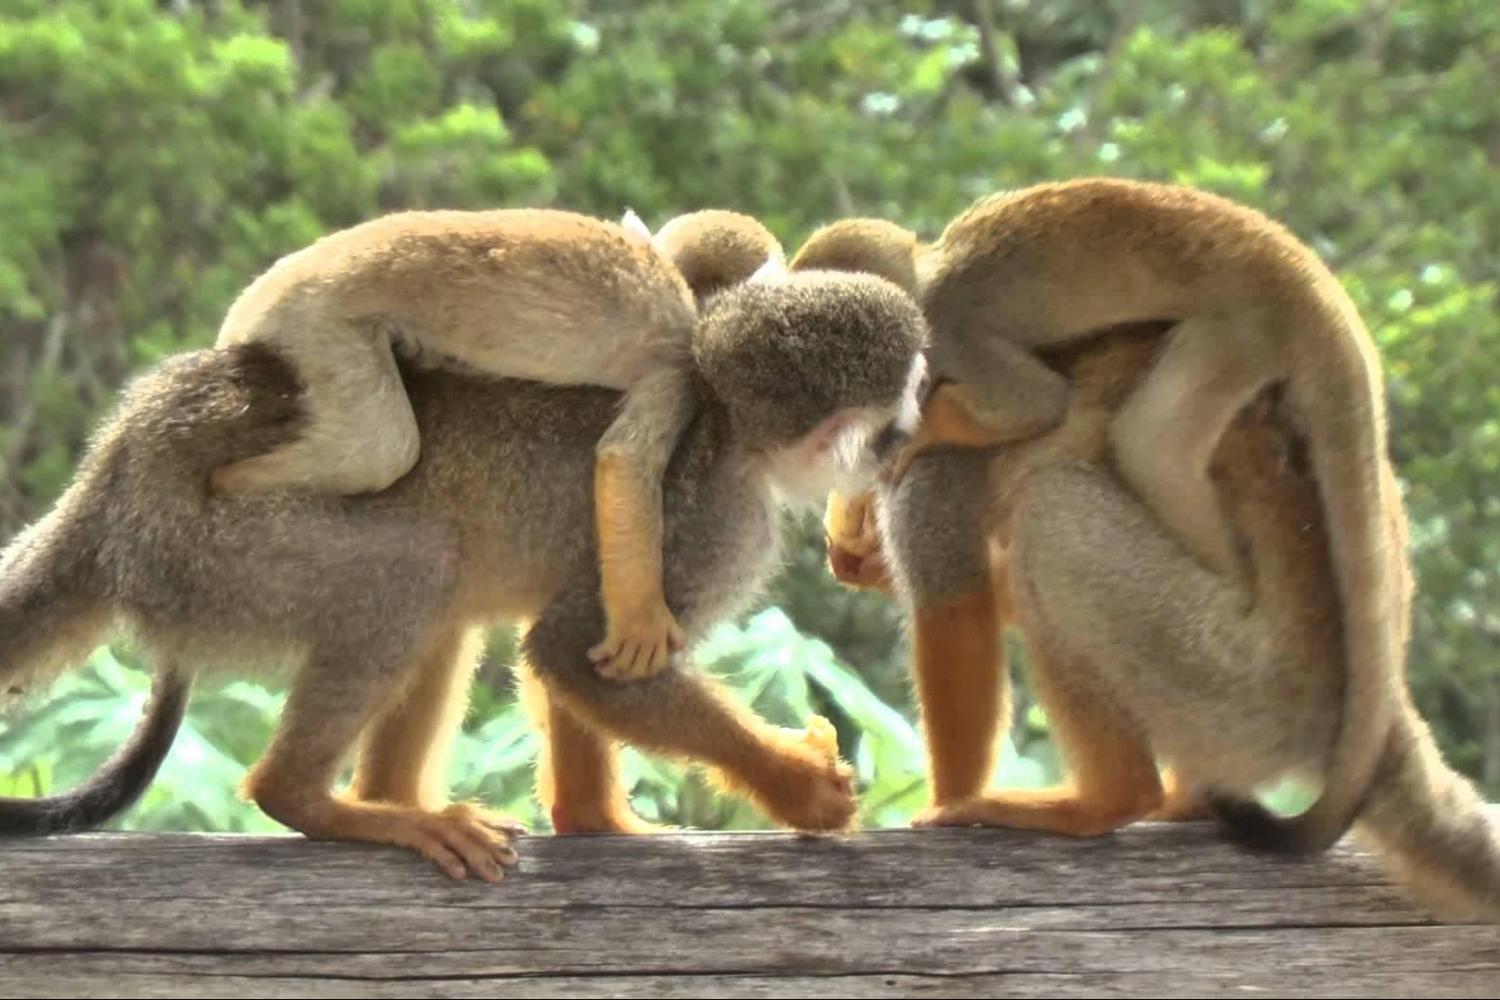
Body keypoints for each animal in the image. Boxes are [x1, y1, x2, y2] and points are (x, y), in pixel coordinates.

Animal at [0, 267, 929, 873]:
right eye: (899, 413)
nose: (908, 441)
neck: (733, 426)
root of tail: (121, 462)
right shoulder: (717, 526)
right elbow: (576, 648)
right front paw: (800, 789)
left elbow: (580, 653)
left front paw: (594, 819)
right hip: (205, 551)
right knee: (417, 565)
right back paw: (305, 798)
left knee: (442, 609)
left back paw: (387, 801)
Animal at [207, 207, 780, 686]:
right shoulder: (680, 362)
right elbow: (626, 460)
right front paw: (642, 621)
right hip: (315, 320)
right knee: (381, 450)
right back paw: (231, 480)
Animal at [794, 177, 1401, 855]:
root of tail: (1311, 282)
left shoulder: (953, 337)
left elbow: (1035, 406)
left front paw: (919, 437)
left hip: (1241, 336)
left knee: (1147, 442)